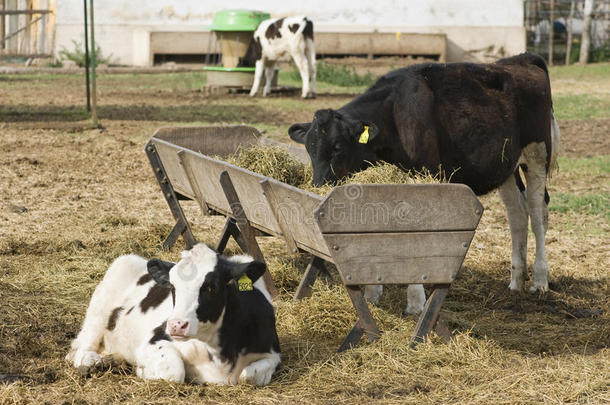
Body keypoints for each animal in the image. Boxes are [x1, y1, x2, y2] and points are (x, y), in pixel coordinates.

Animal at [65, 243, 280, 386]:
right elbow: (174, 372)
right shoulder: (154, 340)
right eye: (173, 287)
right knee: (82, 347)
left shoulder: (273, 354)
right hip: (99, 307)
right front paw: (143, 370)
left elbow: (249, 375)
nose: (176, 325)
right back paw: (92, 362)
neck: (220, 356)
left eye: (211, 287)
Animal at [288, 52, 560, 312]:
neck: (393, 117)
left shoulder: (422, 177)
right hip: (505, 166)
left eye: (338, 148)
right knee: (517, 214)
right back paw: (516, 280)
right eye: (309, 149)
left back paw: (539, 280)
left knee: (538, 213)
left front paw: (416, 301)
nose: (318, 185)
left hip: (537, 154)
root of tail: (522, 58)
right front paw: (372, 293)